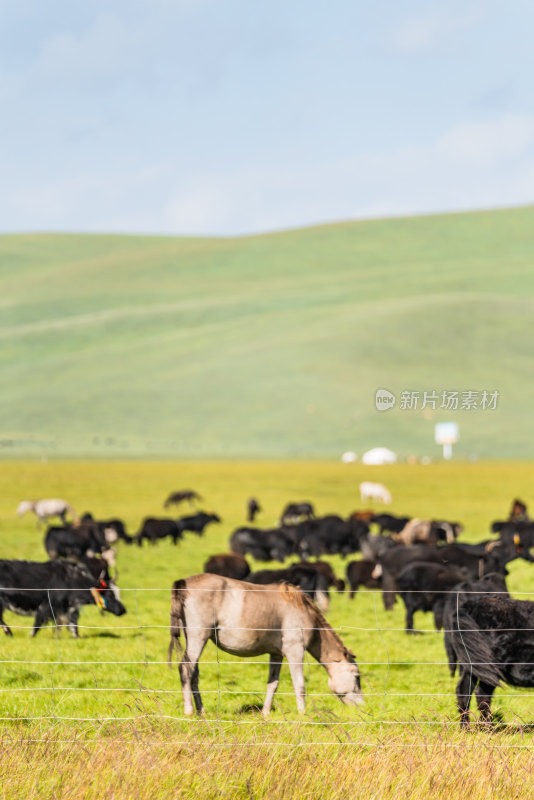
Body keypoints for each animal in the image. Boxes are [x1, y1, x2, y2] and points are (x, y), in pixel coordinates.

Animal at [172, 572, 364, 716]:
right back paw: (189, 711)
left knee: (194, 674)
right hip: (198, 638)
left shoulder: (276, 655)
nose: (362, 706)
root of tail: (184, 583)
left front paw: (265, 713)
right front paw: (303, 713)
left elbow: (273, 684)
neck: (302, 610)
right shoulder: (295, 652)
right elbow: (300, 684)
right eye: (356, 676)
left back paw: (201, 711)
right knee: (186, 669)